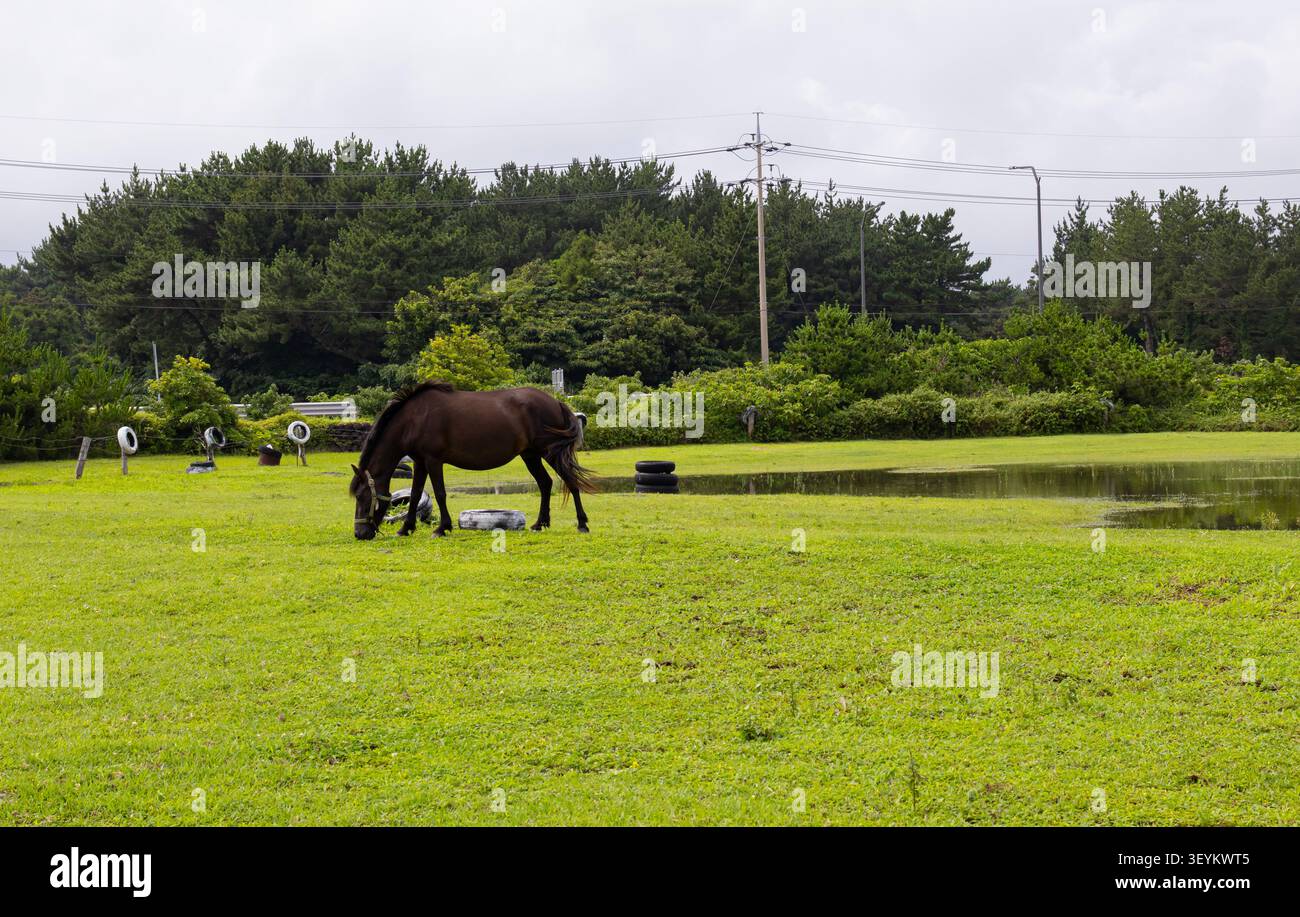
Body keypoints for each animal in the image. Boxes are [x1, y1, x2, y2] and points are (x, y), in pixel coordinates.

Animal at [349, 382, 596, 540]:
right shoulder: (419, 462)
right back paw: (540, 524)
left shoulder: (433, 460)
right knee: (545, 484)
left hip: (549, 453)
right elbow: (416, 494)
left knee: (570, 482)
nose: (360, 534)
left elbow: (440, 493)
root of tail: (556, 402)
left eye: (362, 497)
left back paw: (582, 524)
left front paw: (442, 528)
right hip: (531, 455)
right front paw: (406, 528)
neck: (414, 418)